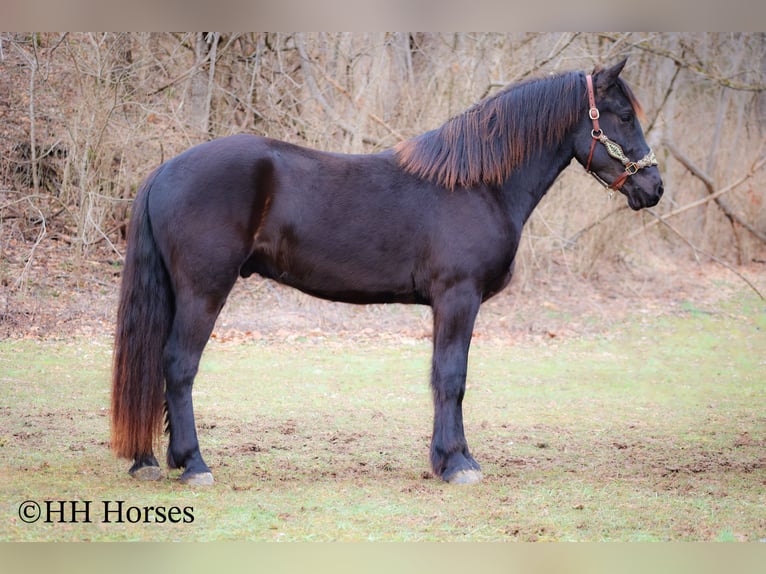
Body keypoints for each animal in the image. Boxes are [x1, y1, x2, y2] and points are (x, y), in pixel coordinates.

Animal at [111, 58, 663, 486]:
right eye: (620, 115)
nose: (654, 187)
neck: (479, 185)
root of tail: (165, 169)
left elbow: (446, 376)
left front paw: (453, 458)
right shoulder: (457, 297)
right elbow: (451, 376)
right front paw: (457, 464)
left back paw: (149, 461)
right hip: (204, 291)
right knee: (178, 365)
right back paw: (194, 465)